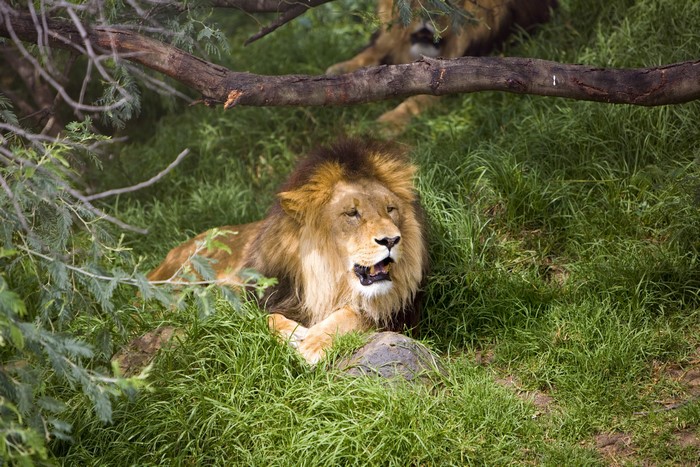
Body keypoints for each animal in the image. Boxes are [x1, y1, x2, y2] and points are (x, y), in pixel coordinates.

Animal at [147, 139, 429, 364]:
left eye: (390, 209)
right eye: (352, 213)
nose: (391, 239)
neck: (326, 282)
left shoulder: (398, 315)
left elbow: (354, 315)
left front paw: (314, 344)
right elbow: (261, 318)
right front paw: (294, 334)